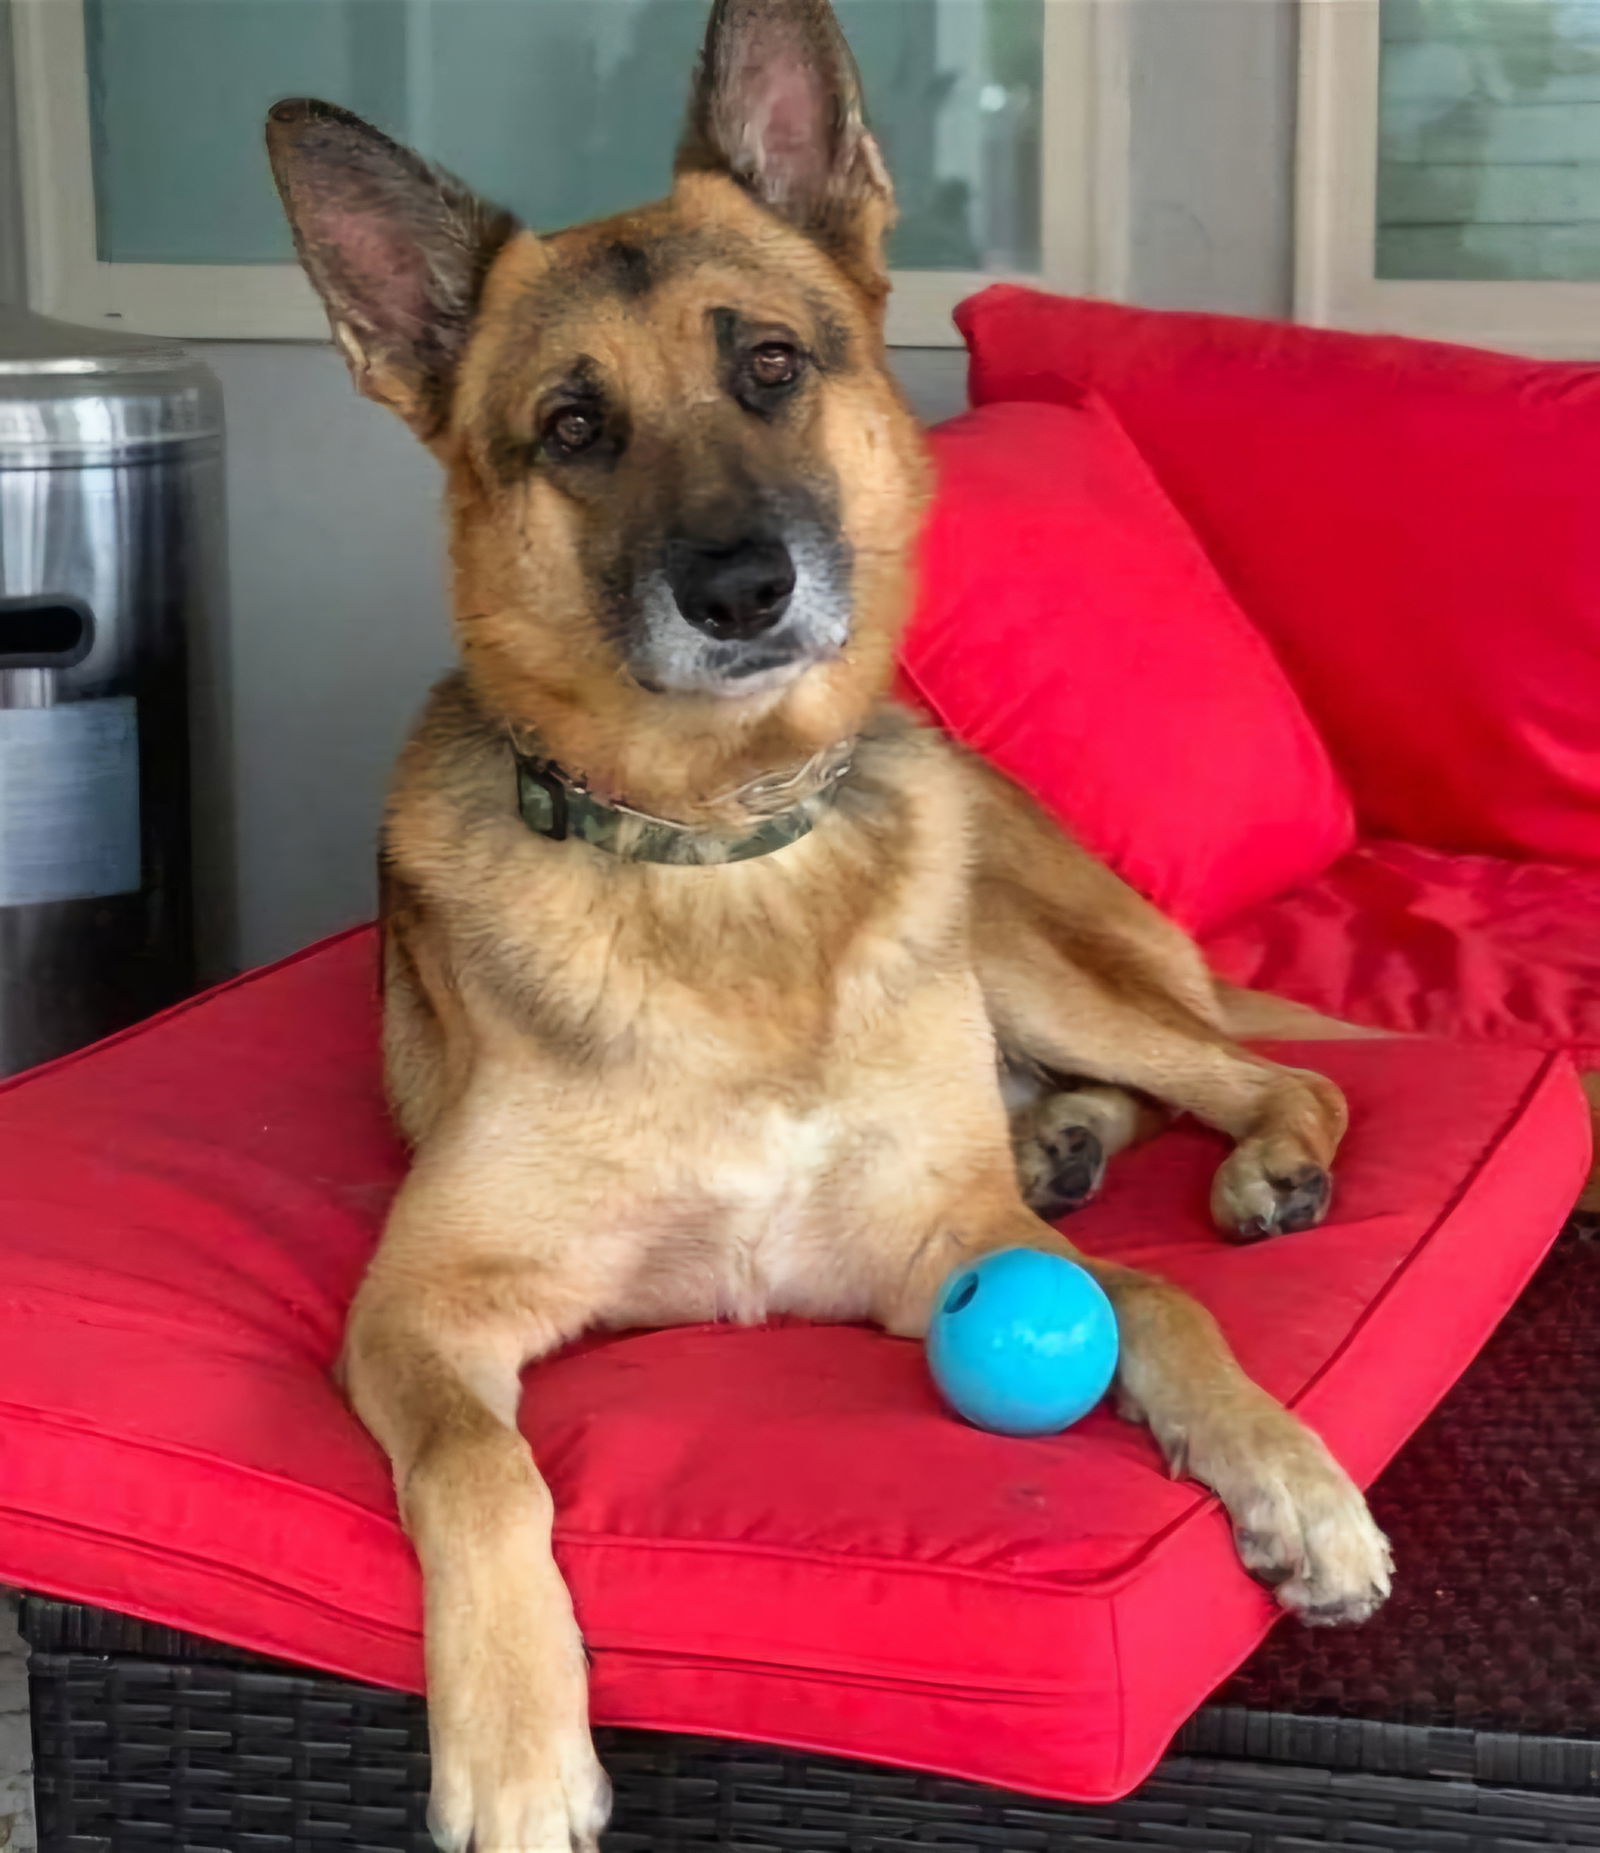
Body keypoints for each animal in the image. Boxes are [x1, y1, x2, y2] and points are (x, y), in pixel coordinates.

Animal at [268, 7, 1394, 1845]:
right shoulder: (416, 1310)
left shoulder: (944, 1248)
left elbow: (1162, 1308)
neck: (721, 853)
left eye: (774, 367)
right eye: (571, 427)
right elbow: (482, 1465)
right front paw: (514, 1755)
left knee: (1257, 1073)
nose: (741, 590)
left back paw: (1254, 1162)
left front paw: (1295, 1480)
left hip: (1019, 954)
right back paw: (1076, 1143)